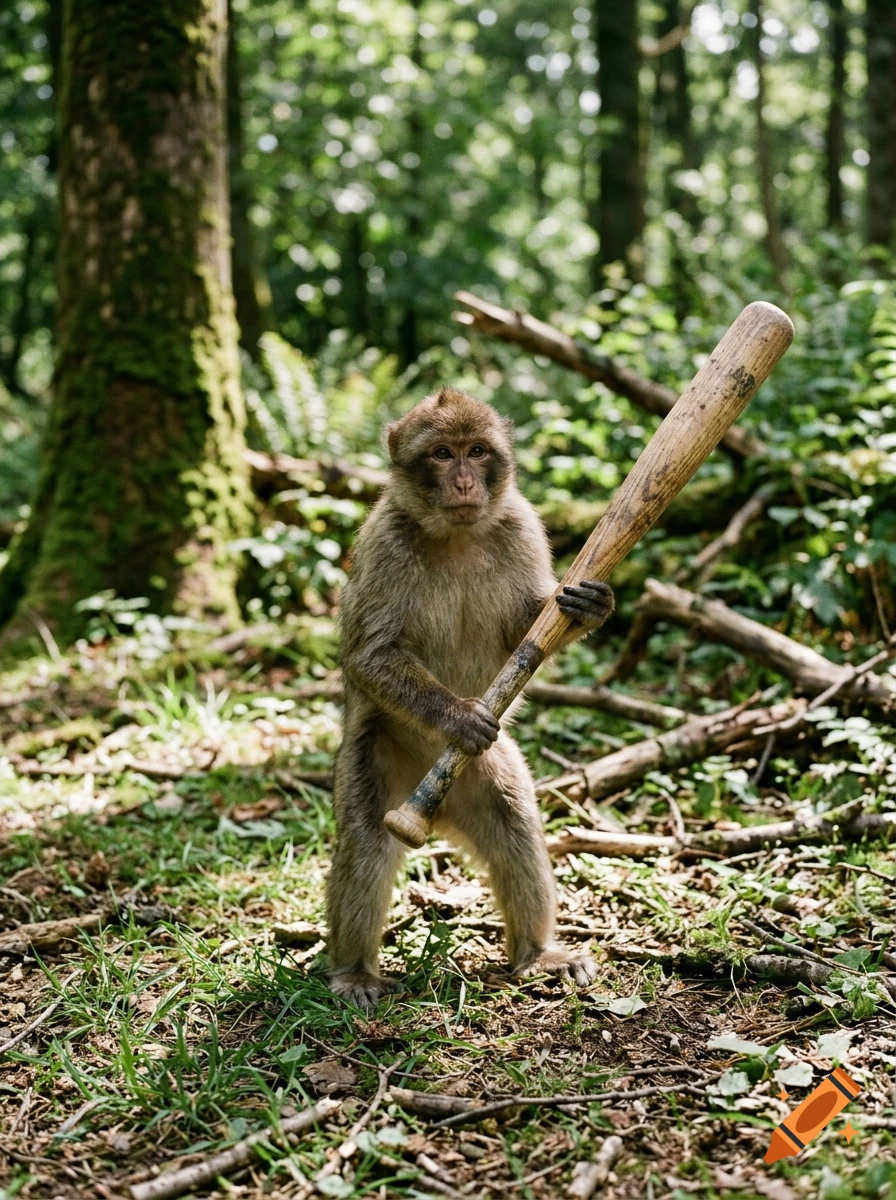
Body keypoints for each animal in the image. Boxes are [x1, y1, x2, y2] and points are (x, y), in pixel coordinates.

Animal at [325, 386, 614, 1009]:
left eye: (476, 451)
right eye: (441, 453)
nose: (463, 481)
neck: (455, 533)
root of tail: (435, 804)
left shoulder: (522, 526)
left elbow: (525, 632)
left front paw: (588, 609)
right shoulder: (384, 543)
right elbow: (370, 656)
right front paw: (458, 717)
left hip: (481, 777)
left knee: (513, 827)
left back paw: (537, 954)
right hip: (378, 759)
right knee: (367, 840)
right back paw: (353, 972)